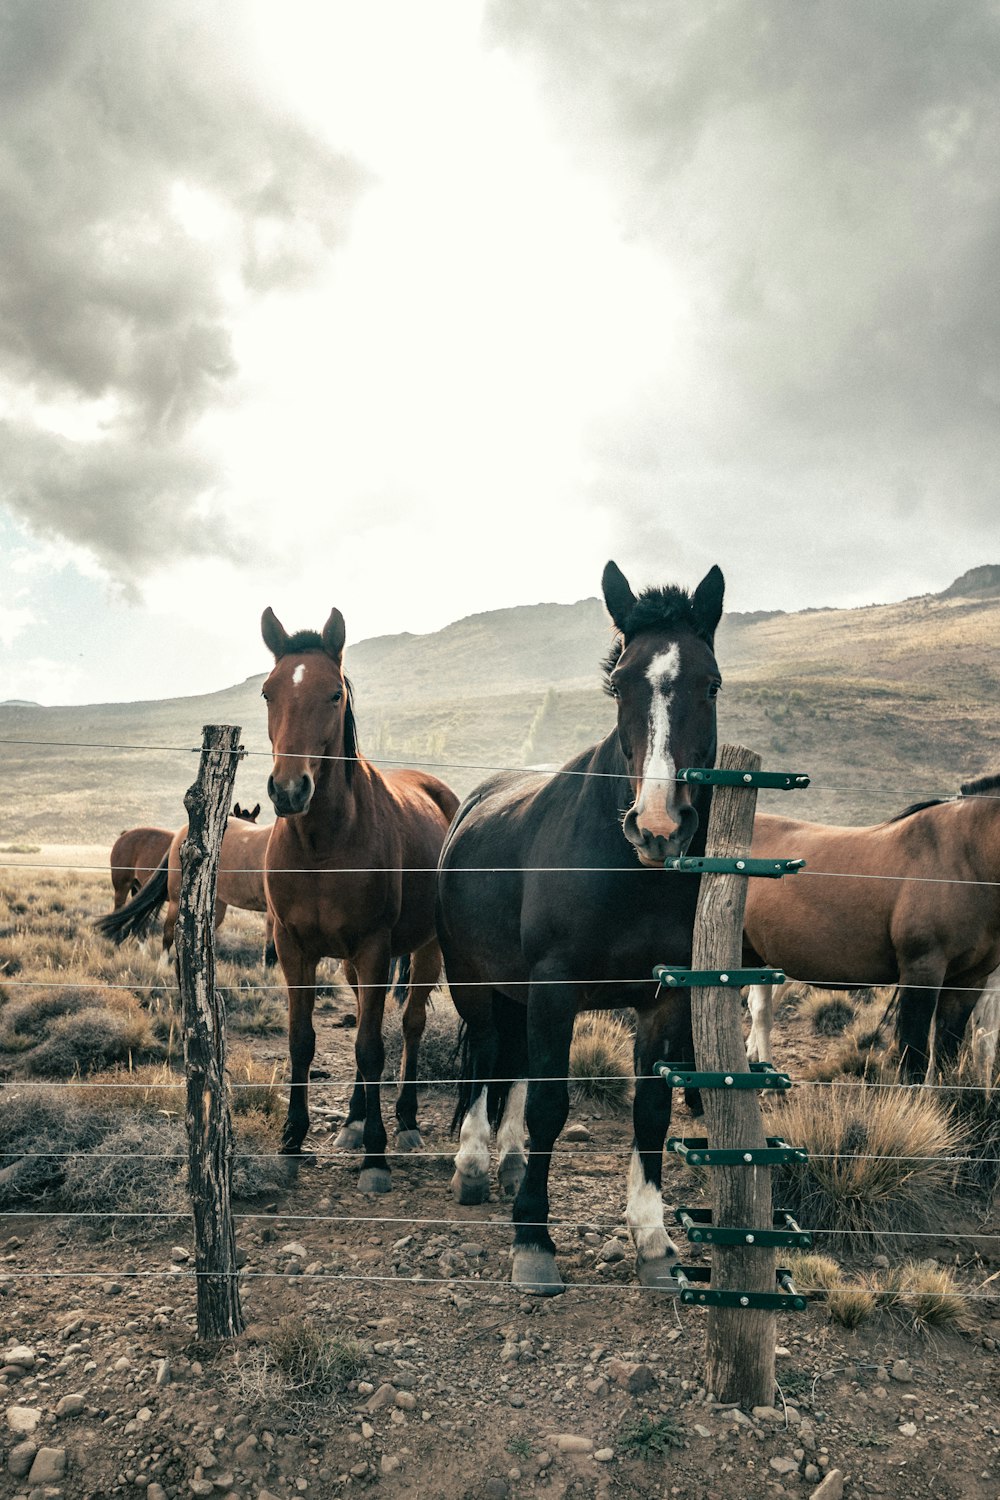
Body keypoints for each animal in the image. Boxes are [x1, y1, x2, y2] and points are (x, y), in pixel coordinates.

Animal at [257, 600, 461, 1182]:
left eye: (334, 693)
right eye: (268, 692)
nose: (289, 790)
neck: (324, 845)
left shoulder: (374, 947)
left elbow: (372, 1047)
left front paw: (377, 1153)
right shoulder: (294, 947)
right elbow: (303, 1042)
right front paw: (292, 1141)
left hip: (426, 949)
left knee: (411, 1026)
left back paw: (405, 1121)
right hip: (351, 963)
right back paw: (351, 1119)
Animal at [437, 561, 728, 1290]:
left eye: (710, 683)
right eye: (620, 683)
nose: (658, 824)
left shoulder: (665, 998)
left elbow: (650, 1113)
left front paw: (654, 1242)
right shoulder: (555, 987)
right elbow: (550, 1105)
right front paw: (533, 1240)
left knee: (509, 1063)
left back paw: (509, 1161)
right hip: (473, 982)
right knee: (486, 1056)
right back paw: (474, 1164)